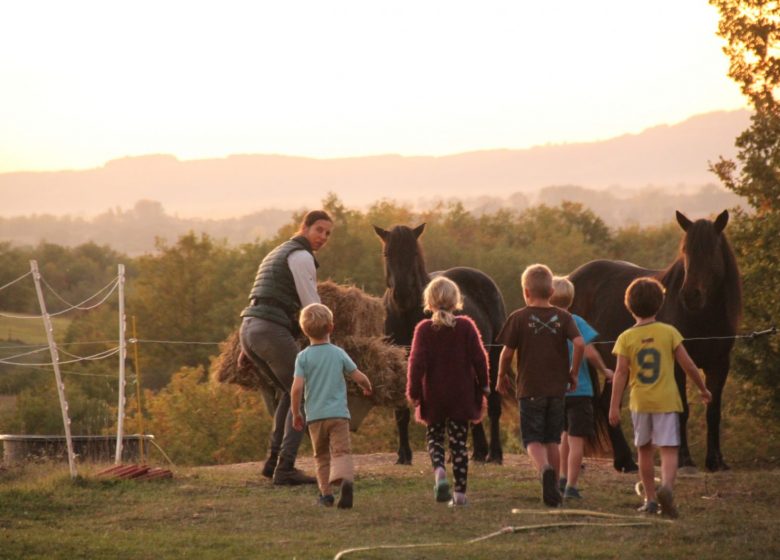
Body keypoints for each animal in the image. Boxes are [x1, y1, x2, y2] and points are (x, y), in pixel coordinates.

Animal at [374, 223, 508, 464]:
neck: (407, 315)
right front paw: (403, 455)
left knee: (493, 405)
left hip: (493, 356)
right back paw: (479, 451)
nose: (402, 294)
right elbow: (401, 412)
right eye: (387, 254)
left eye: (414, 253)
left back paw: (494, 453)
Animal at [568, 210, 740, 472]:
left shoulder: (719, 364)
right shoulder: (677, 364)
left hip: (614, 365)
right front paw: (684, 460)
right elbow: (682, 410)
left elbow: (713, 412)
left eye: (712, 251)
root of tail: (571, 279)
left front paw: (716, 461)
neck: (702, 317)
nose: (690, 296)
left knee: (607, 402)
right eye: (685, 251)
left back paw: (625, 461)